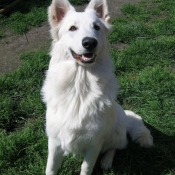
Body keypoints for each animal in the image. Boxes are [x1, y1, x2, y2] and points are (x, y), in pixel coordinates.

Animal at [41, 0, 153, 175]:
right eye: (72, 28)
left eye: (96, 27)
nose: (90, 42)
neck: (80, 85)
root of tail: (124, 114)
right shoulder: (54, 141)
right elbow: (51, 167)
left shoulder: (94, 143)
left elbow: (86, 168)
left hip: (115, 135)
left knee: (117, 147)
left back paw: (107, 161)